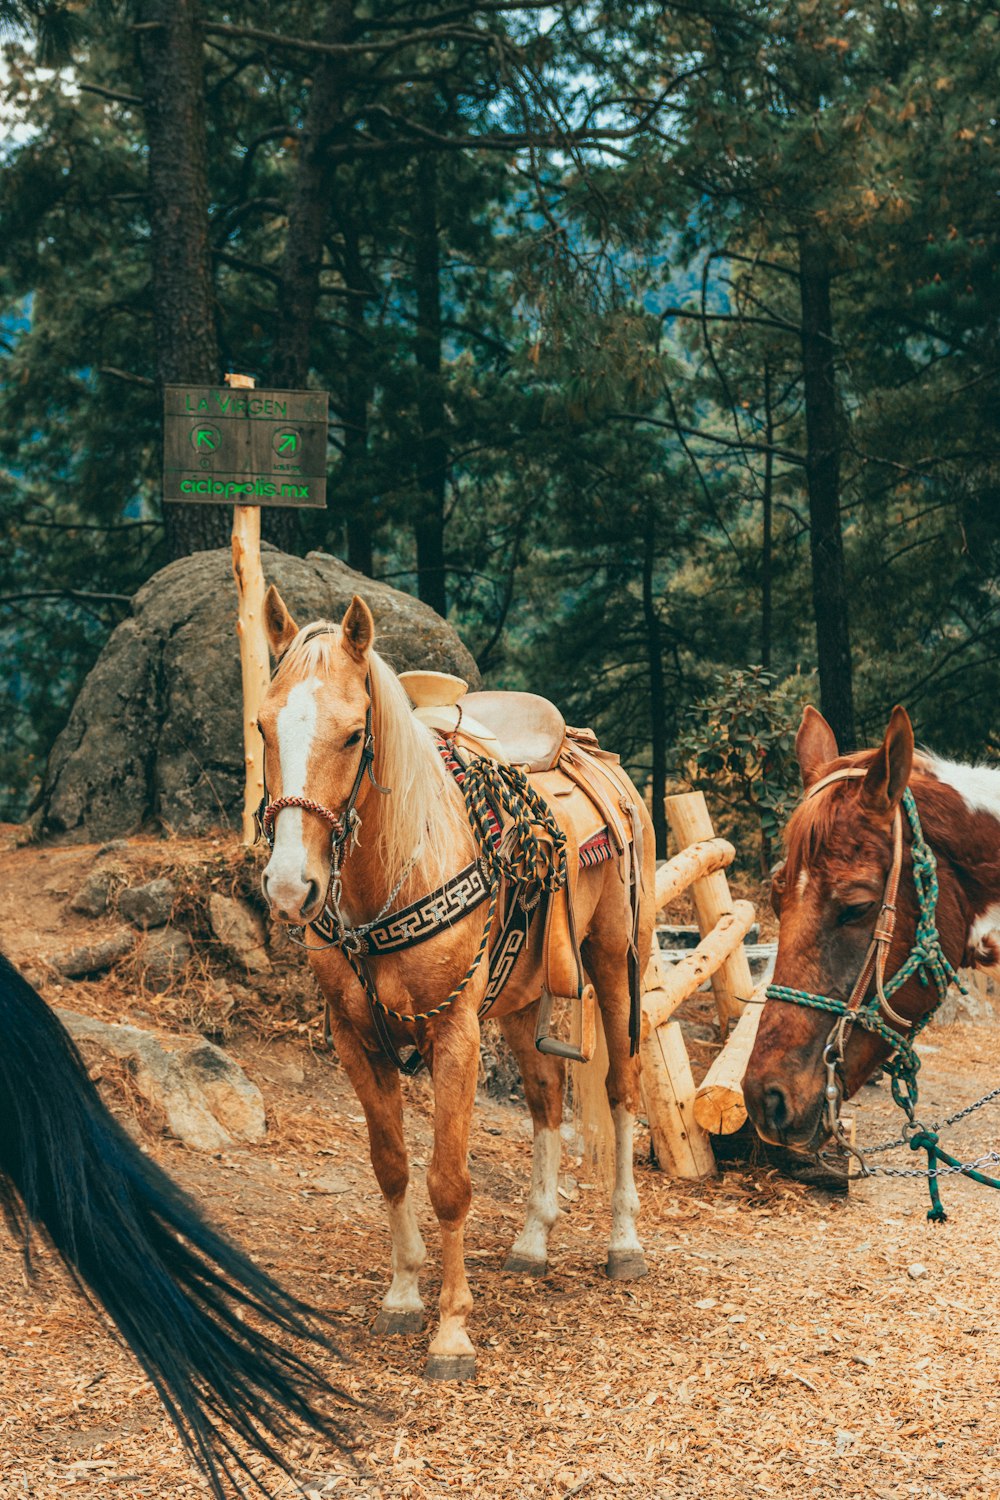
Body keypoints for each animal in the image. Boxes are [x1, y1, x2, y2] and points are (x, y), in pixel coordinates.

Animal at [256, 588, 656, 1380]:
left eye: (353, 735)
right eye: (262, 725)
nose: (289, 888)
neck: (396, 869)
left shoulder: (455, 1035)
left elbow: (448, 1182)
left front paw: (451, 1332)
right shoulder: (355, 1038)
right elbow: (391, 1167)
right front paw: (403, 1297)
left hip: (615, 960)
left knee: (621, 1089)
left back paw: (623, 1243)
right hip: (522, 994)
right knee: (545, 1095)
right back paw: (533, 1243)